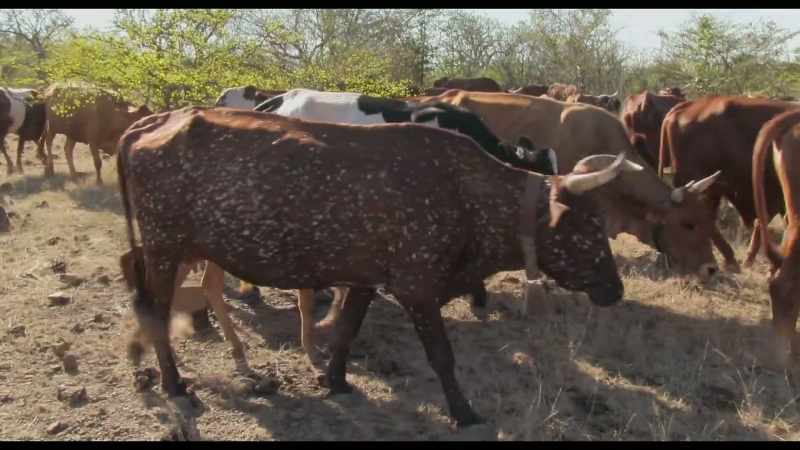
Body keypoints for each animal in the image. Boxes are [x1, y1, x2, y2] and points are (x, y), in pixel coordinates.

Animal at [118, 105, 634, 426]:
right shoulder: (416, 286)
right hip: (166, 246)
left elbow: (346, 332)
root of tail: (156, 121)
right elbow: (441, 357)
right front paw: (464, 412)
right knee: (156, 310)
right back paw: (175, 384)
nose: (615, 289)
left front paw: (334, 380)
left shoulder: (366, 278)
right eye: (589, 226)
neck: (469, 197)